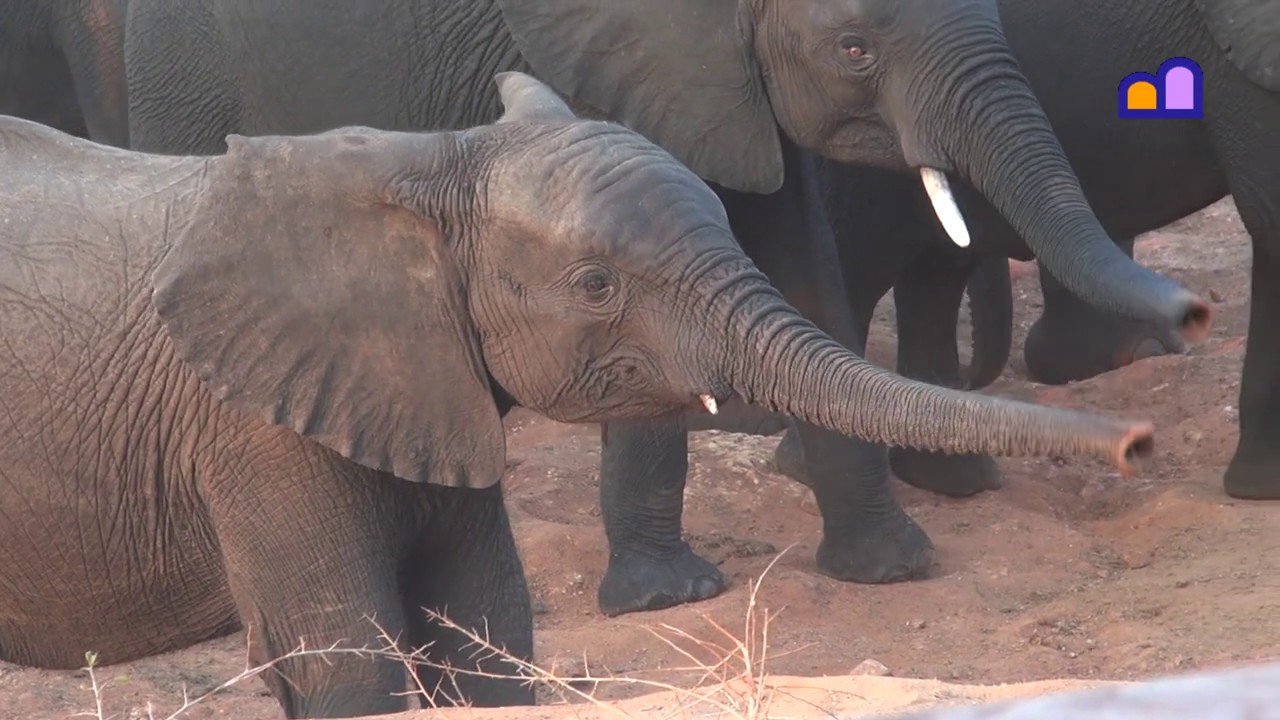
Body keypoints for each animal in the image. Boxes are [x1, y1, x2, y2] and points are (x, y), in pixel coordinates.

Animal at [0, 72, 1157, 718]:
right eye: (598, 286)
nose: (1137, 445)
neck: (432, 164)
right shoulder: (253, 428)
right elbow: (344, 669)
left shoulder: (419, 388)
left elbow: (487, 638)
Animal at [766, 0, 1280, 500]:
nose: (1195, 316)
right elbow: (1270, 216)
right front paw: (1261, 492)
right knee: (862, 258)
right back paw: (812, 467)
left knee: (931, 271)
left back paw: (954, 481)